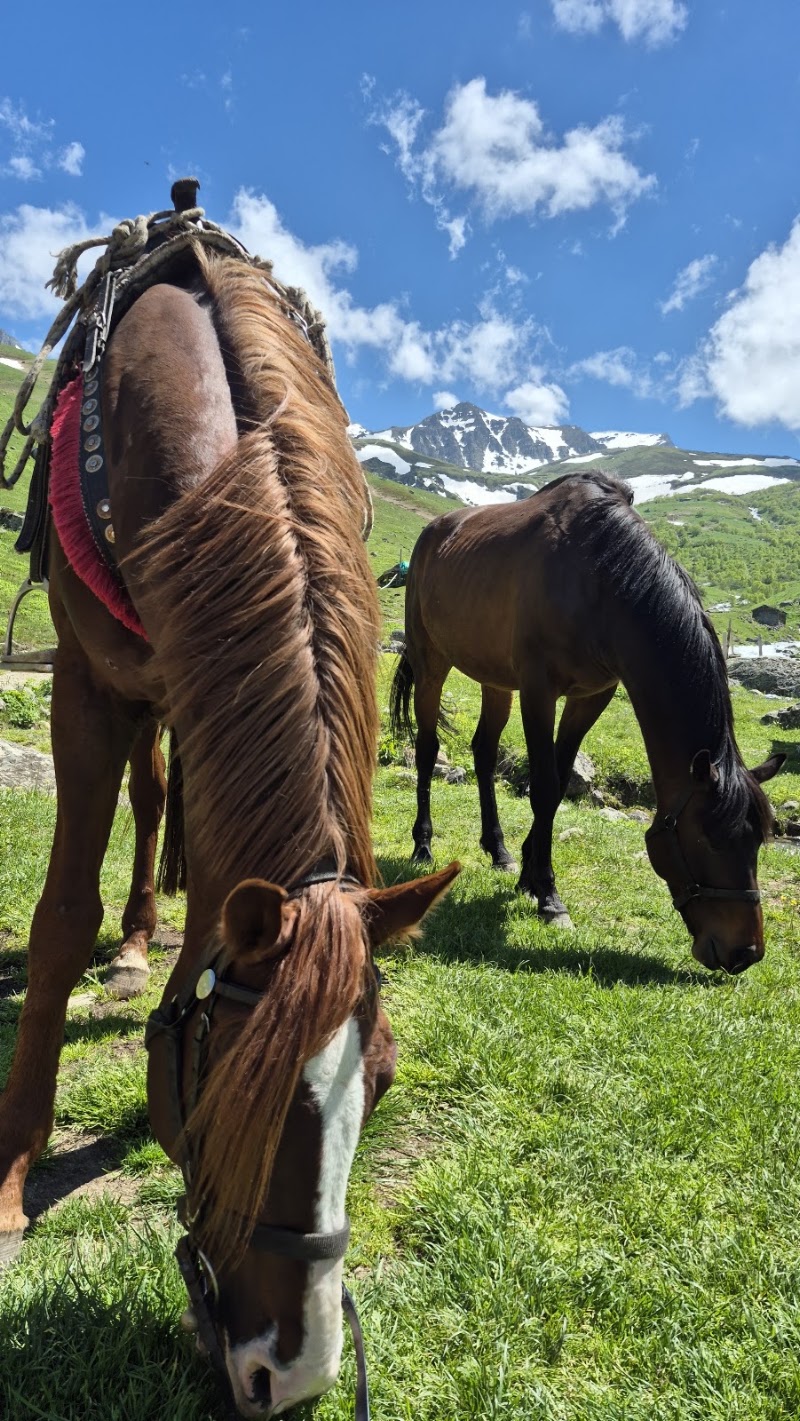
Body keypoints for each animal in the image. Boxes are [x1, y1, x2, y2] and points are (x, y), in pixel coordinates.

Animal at [0, 240, 459, 1416]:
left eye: (382, 1080)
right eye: (229, 1098)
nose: (288, 1373)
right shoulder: (87, 684)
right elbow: (57, 918)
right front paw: (15, 1170)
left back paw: (136, 943)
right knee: (148, 795)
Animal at [390, 470, 783, 974]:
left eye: (759, 841)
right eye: (709, 840)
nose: (745, 953)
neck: (599, 583)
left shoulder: (591, 697)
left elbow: (558, 787)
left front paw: (529, 874)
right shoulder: (539, 692)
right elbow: (542, 787)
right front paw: (549, 896)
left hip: (495, 680)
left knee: (483, 751)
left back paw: (498, 851)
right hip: (431, 662)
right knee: (426, 750)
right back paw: (423, 846)